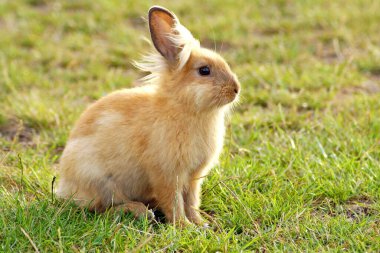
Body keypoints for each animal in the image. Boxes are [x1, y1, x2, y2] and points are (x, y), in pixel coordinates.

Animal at [56, 5, 240, 225]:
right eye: (204, 70)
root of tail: (64, 186)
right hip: (101, 183)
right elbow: (174, 202)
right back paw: (140, 211)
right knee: (103, 209)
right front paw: (184, 226)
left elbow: (191, 202)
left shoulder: (193, 177)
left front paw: (201, 223)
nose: (236, 89)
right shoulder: (166, 174)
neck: (183, 107)